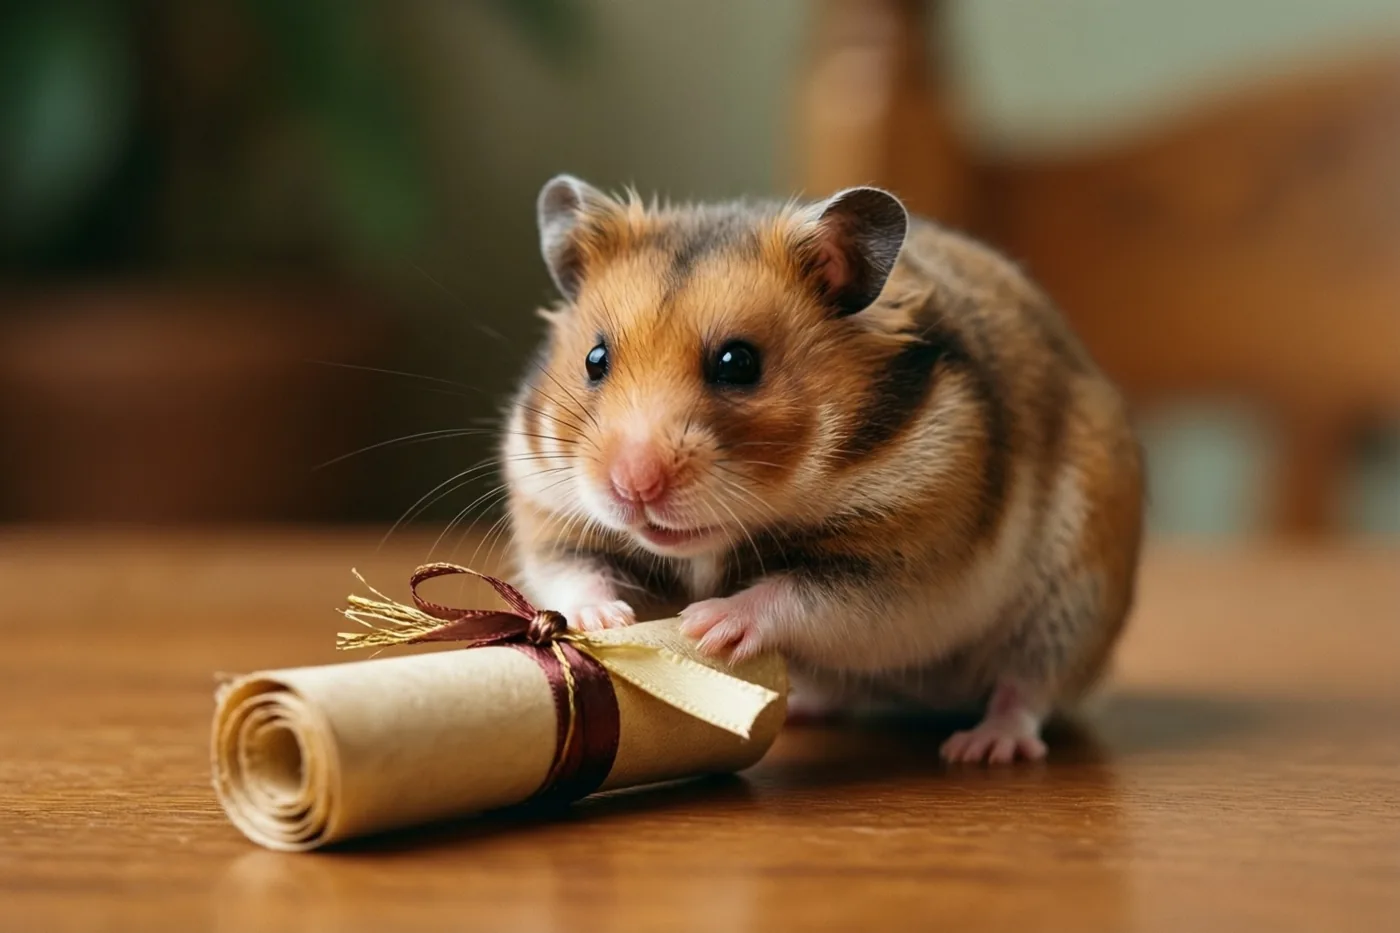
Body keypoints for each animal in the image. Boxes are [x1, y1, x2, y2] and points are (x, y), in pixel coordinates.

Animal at [501, 174, 1144, 764]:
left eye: (738, 363)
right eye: (595, 359)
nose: (632, 486)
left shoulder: (906, 568)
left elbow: (799, 596)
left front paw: (706, 624)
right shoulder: (550, 513)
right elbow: (574, 572)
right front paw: (608, 620)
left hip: (1073, 598)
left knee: (1028, 687)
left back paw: (980, 748)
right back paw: (802, 710)